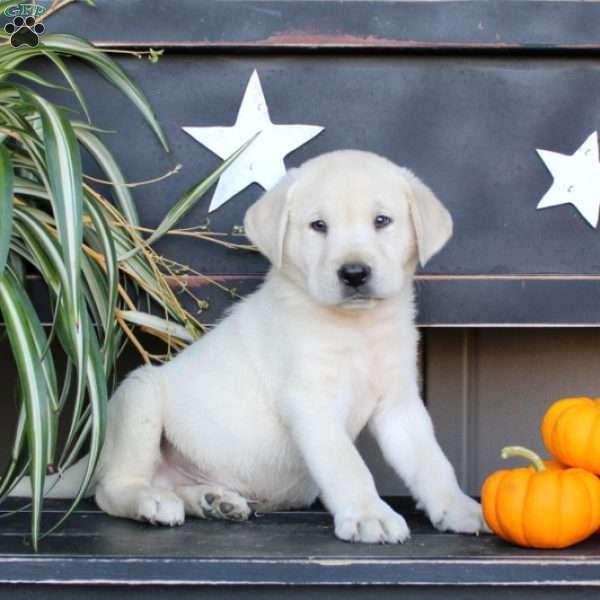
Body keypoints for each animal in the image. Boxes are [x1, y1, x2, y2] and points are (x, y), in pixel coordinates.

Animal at [16, 150, 486, 544]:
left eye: (382, 221)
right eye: (318, 226)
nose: (354, 273)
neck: (355, 327)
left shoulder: (400, 404)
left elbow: (431, 461)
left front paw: (458, 507)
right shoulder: (310, 401)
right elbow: (347, 464)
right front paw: (370, 514)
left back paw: (212, 500)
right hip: (139, 396)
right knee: (113, 489)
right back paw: (151, 501)